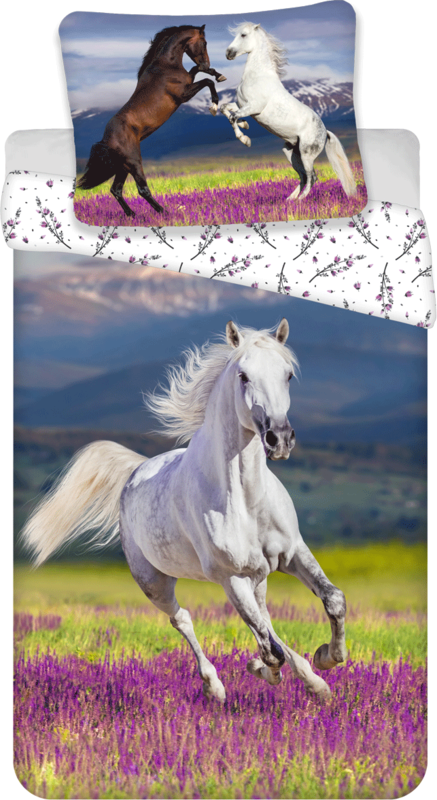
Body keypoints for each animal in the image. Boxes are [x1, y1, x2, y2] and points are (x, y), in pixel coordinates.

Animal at [22, 320, 347, 702]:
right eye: (243, 376)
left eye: (289, 374)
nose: (279, 438)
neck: (246, 500)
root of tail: (136, 470)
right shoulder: (230, 577)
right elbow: (269, 647)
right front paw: (267, 669)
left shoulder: (292, 553)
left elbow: (332, 600)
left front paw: (325, 660)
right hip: (155, 582)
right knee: (184, 619)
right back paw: (215, 686)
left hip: (259, 576)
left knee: (265, 619)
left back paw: (308, 679)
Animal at [78, 25, 226, 217]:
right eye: (205, 42)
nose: (206, 63)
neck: (166, 66)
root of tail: (106, 140)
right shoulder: (183, 95)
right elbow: (207, 81)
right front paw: (214, 105)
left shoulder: (189, 81)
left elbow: (196, 70)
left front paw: (218, 74)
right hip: (134, 162)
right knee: (142, 189)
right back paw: (165, 212)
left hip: (123, 166)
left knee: (116, 189)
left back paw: (132, 215)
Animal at [221, 22, 356, 201]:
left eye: (243, 35)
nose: (228, 53)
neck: (258, 76)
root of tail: (325, 132)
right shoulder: (242, 105)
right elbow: (225, 109)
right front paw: (245, 126)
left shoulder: (254, 107)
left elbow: (233, 117)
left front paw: (245, 140)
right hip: (291, 152)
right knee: (303, 176)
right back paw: (289, 200)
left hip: (307, 154)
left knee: (312, 176)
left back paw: (300, 200)